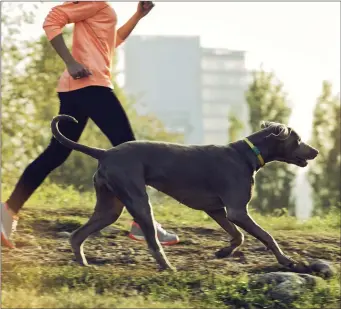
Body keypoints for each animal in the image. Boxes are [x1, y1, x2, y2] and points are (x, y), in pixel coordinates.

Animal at [51, 113, 318, 270]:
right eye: (298, 140)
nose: (315, 151)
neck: (247, 154)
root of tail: (104, 153)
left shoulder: (217, 210)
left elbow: (238, 236)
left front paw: (223, 252)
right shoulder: (237, 211)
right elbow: (266, 236)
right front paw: (287, 261)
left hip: (110, 207)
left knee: (77, 236)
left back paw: (83, 263)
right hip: (138, 200)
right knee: (153, 242)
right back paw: (168, 267)